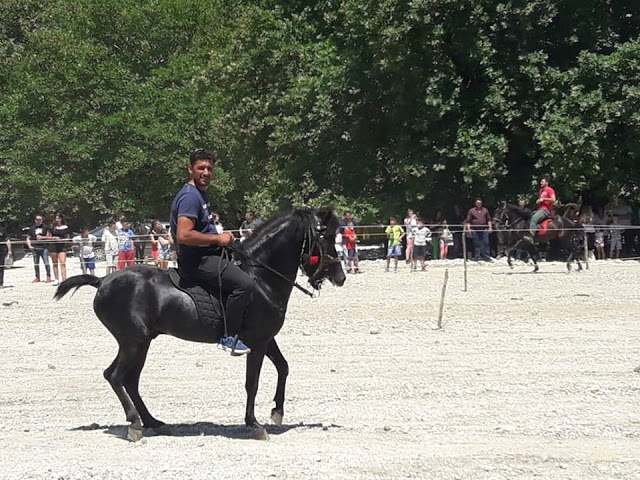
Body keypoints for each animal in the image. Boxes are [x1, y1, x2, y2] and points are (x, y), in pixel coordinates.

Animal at [54, 208, 344, 440]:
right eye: (326, 237)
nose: (340, 277)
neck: (261, 278)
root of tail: (102, 281)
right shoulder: (258, 341)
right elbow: (252, 382)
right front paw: (254, 424)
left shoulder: (265, 338)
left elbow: (283, 367)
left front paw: (277, 411)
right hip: (133, 342)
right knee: (117, 377)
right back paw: (136, 424)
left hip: (138, 343)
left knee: (128, 380)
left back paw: (152, 422)